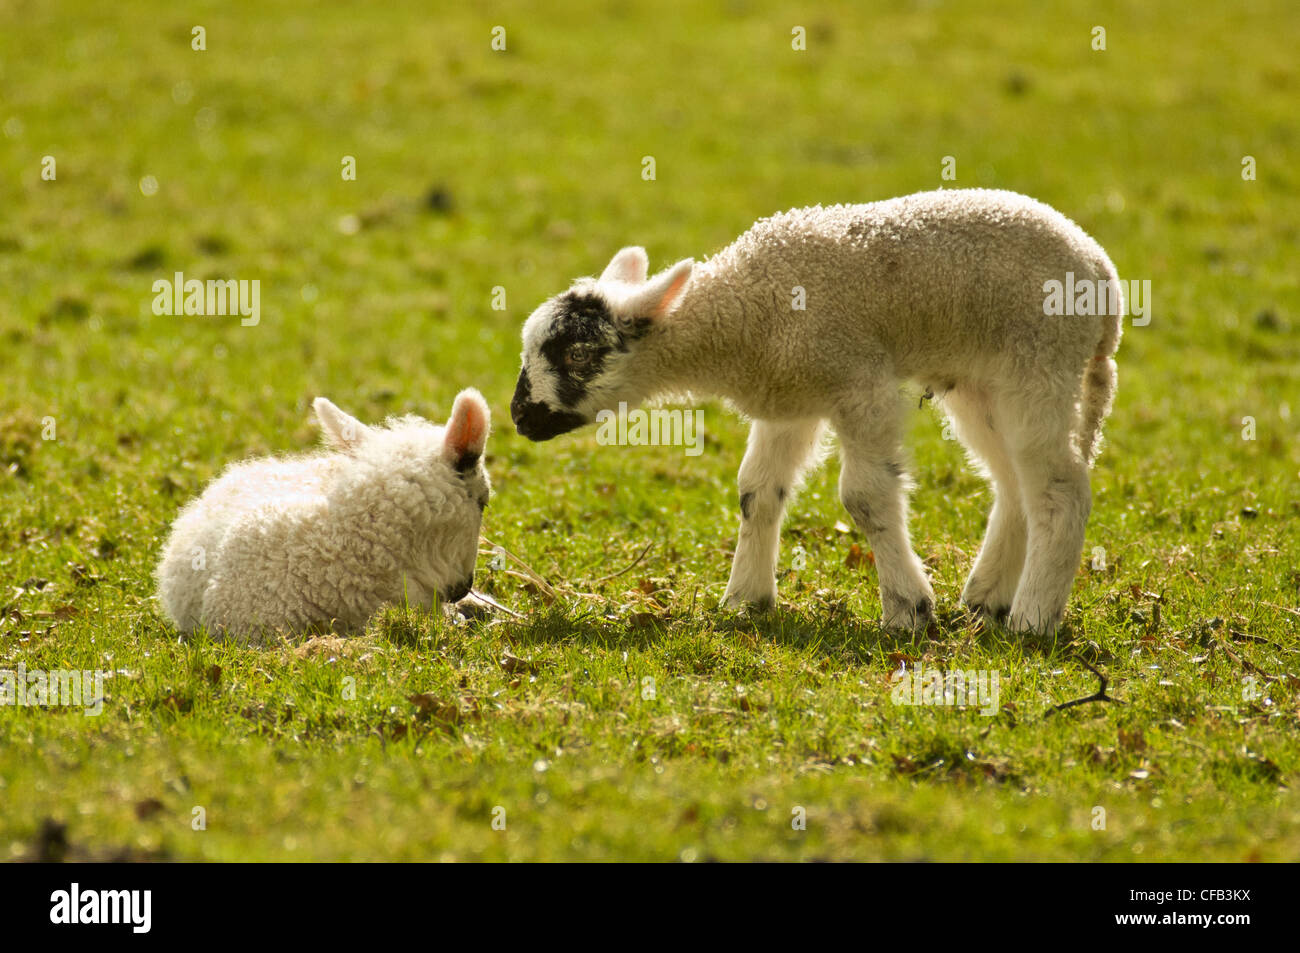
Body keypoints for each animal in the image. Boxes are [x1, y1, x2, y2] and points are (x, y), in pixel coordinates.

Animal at [512, 187, 1123, 634]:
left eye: (575, 353)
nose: (519, 416)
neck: (743, 310)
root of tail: (1103, 273)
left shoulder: (860, 384)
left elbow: (866, 498)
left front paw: (908, 611)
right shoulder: (789, 398)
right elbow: (757, 492)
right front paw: (745, 601)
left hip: (1040, 362)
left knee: (1060, 489)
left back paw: (1032, 620)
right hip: (980, 381)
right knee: (1013, 482)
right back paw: (986, 599)